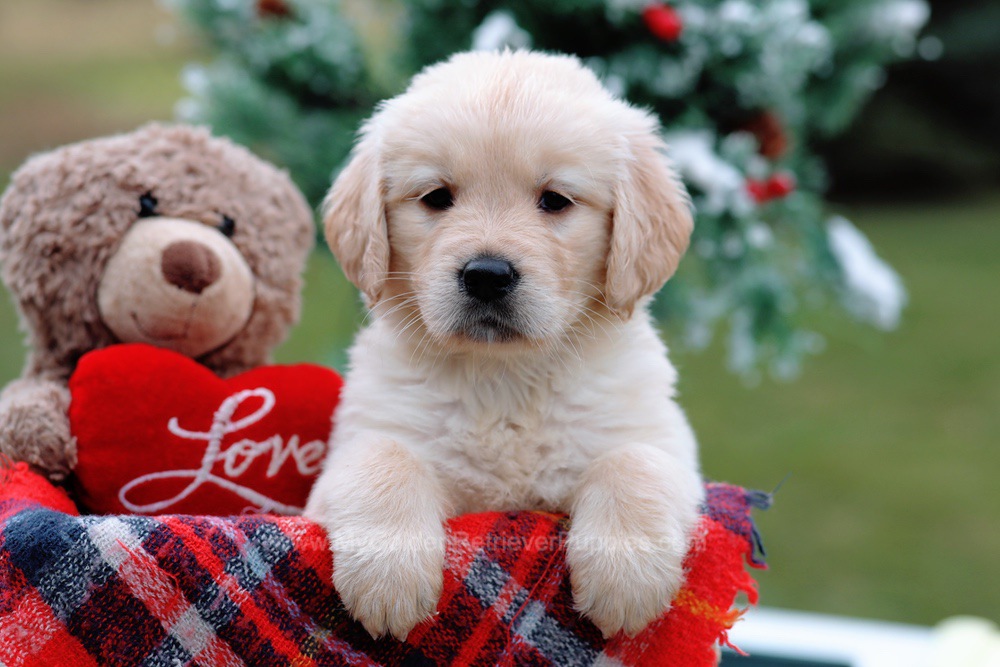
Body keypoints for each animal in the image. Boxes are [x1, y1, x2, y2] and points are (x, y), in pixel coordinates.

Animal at [304, 51, 704, 640]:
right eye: (436, 198)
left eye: (556, 200)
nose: (487, 276)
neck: (505, 377)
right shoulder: (360, 440)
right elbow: (382, 458)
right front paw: (389, 576)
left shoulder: (663, 439)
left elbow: (635, 461)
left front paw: (626, 575)